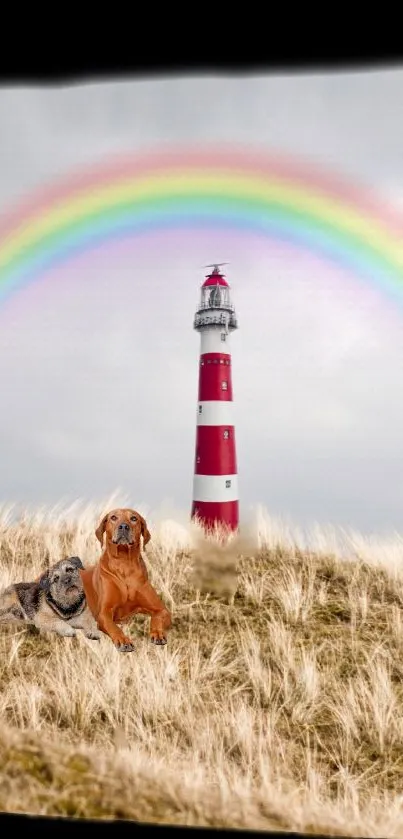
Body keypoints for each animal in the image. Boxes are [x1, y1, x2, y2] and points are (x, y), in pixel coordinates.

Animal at [80, 508, 172, 652]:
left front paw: (158, 633)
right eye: (113, 517)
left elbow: (157, 618)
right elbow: (113, 627)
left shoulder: (162, 609)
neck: (124, 564)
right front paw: (123, 640)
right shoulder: (104, 613)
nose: (123, 526)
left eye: (134, 518)